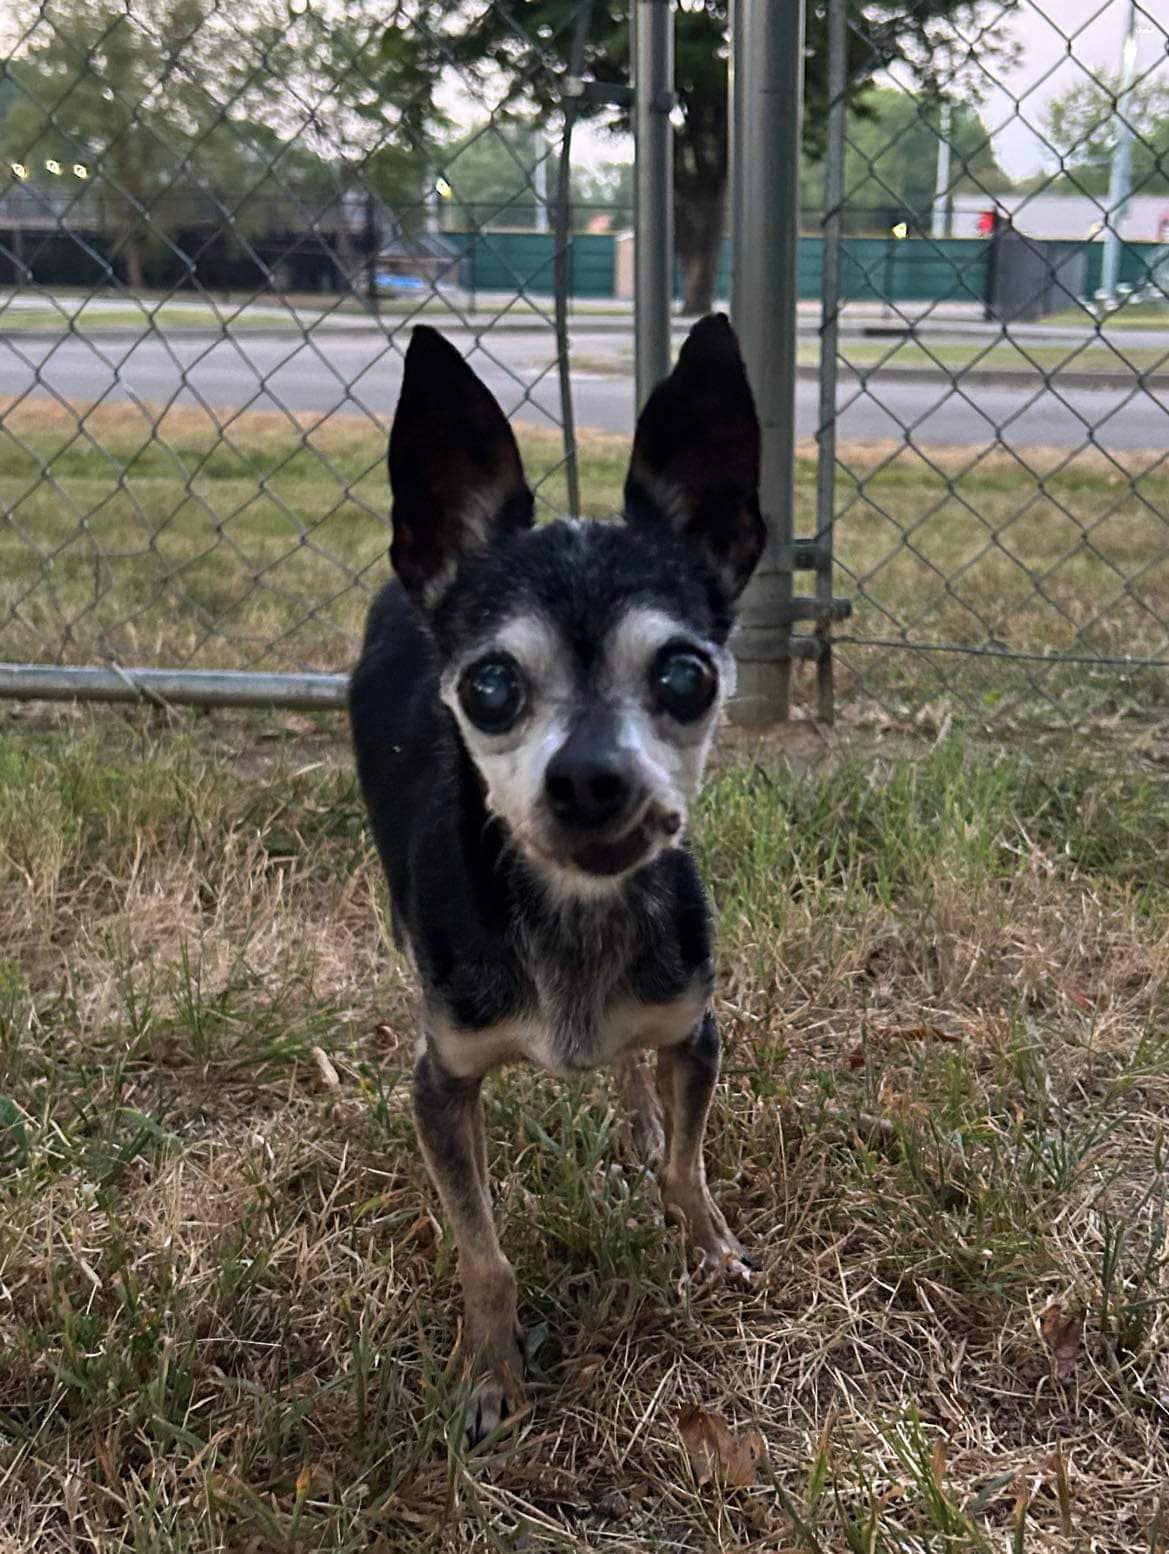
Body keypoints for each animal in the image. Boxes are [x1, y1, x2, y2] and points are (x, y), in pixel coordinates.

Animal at [346, 315, 767, 1442]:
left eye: (685, 674)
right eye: (490, 686)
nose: (588, 777)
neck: (574, 916)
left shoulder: (694, 1028)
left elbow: (686, 1163)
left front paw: (705, 1244)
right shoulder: (440, 1085)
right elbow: (483, 1253)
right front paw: (491, 1375)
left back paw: (635, 1114)